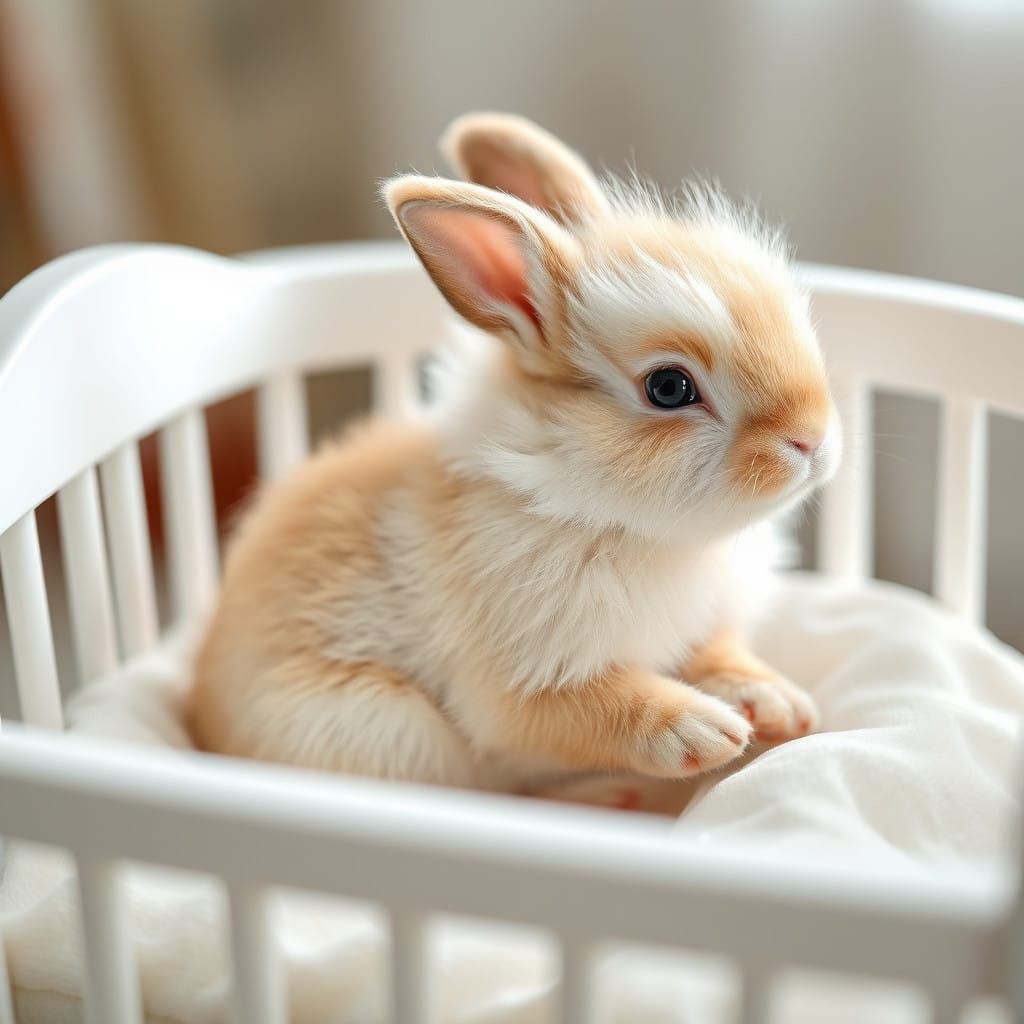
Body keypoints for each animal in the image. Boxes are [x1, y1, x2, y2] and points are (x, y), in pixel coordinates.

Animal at [187, 113, 840, 808]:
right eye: (669, 388)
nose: (813, 440)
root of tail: (201, 722)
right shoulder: (524, 684)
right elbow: (601, 709)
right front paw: (707, 731)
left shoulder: (704, 629)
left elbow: (720, 656)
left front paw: (775, 704)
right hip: (396, 734)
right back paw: (612, 796)